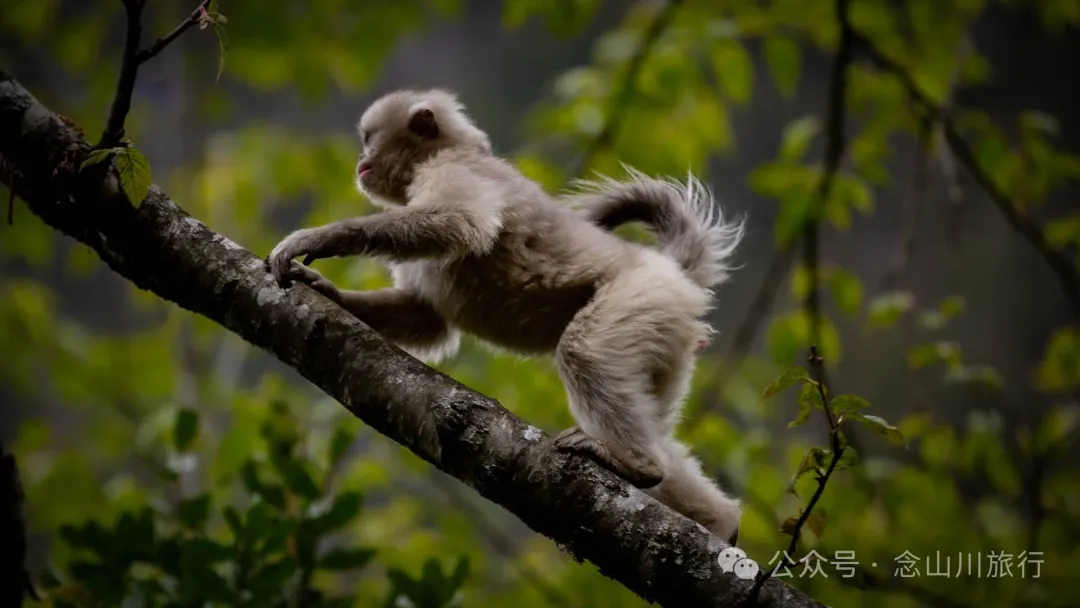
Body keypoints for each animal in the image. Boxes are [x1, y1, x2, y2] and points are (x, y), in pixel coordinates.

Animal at [267, 89, 745, 544]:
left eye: (369, 138)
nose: (361, 161)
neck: (453, 151)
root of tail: (671, 272)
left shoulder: (452, 170)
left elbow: (461, 222)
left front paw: (320, 238)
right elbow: (427, 319)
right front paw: (325, 290)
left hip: (641, 295)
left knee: (584, 351)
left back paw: (638, 464)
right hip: (667, 337)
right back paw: (717, 519)